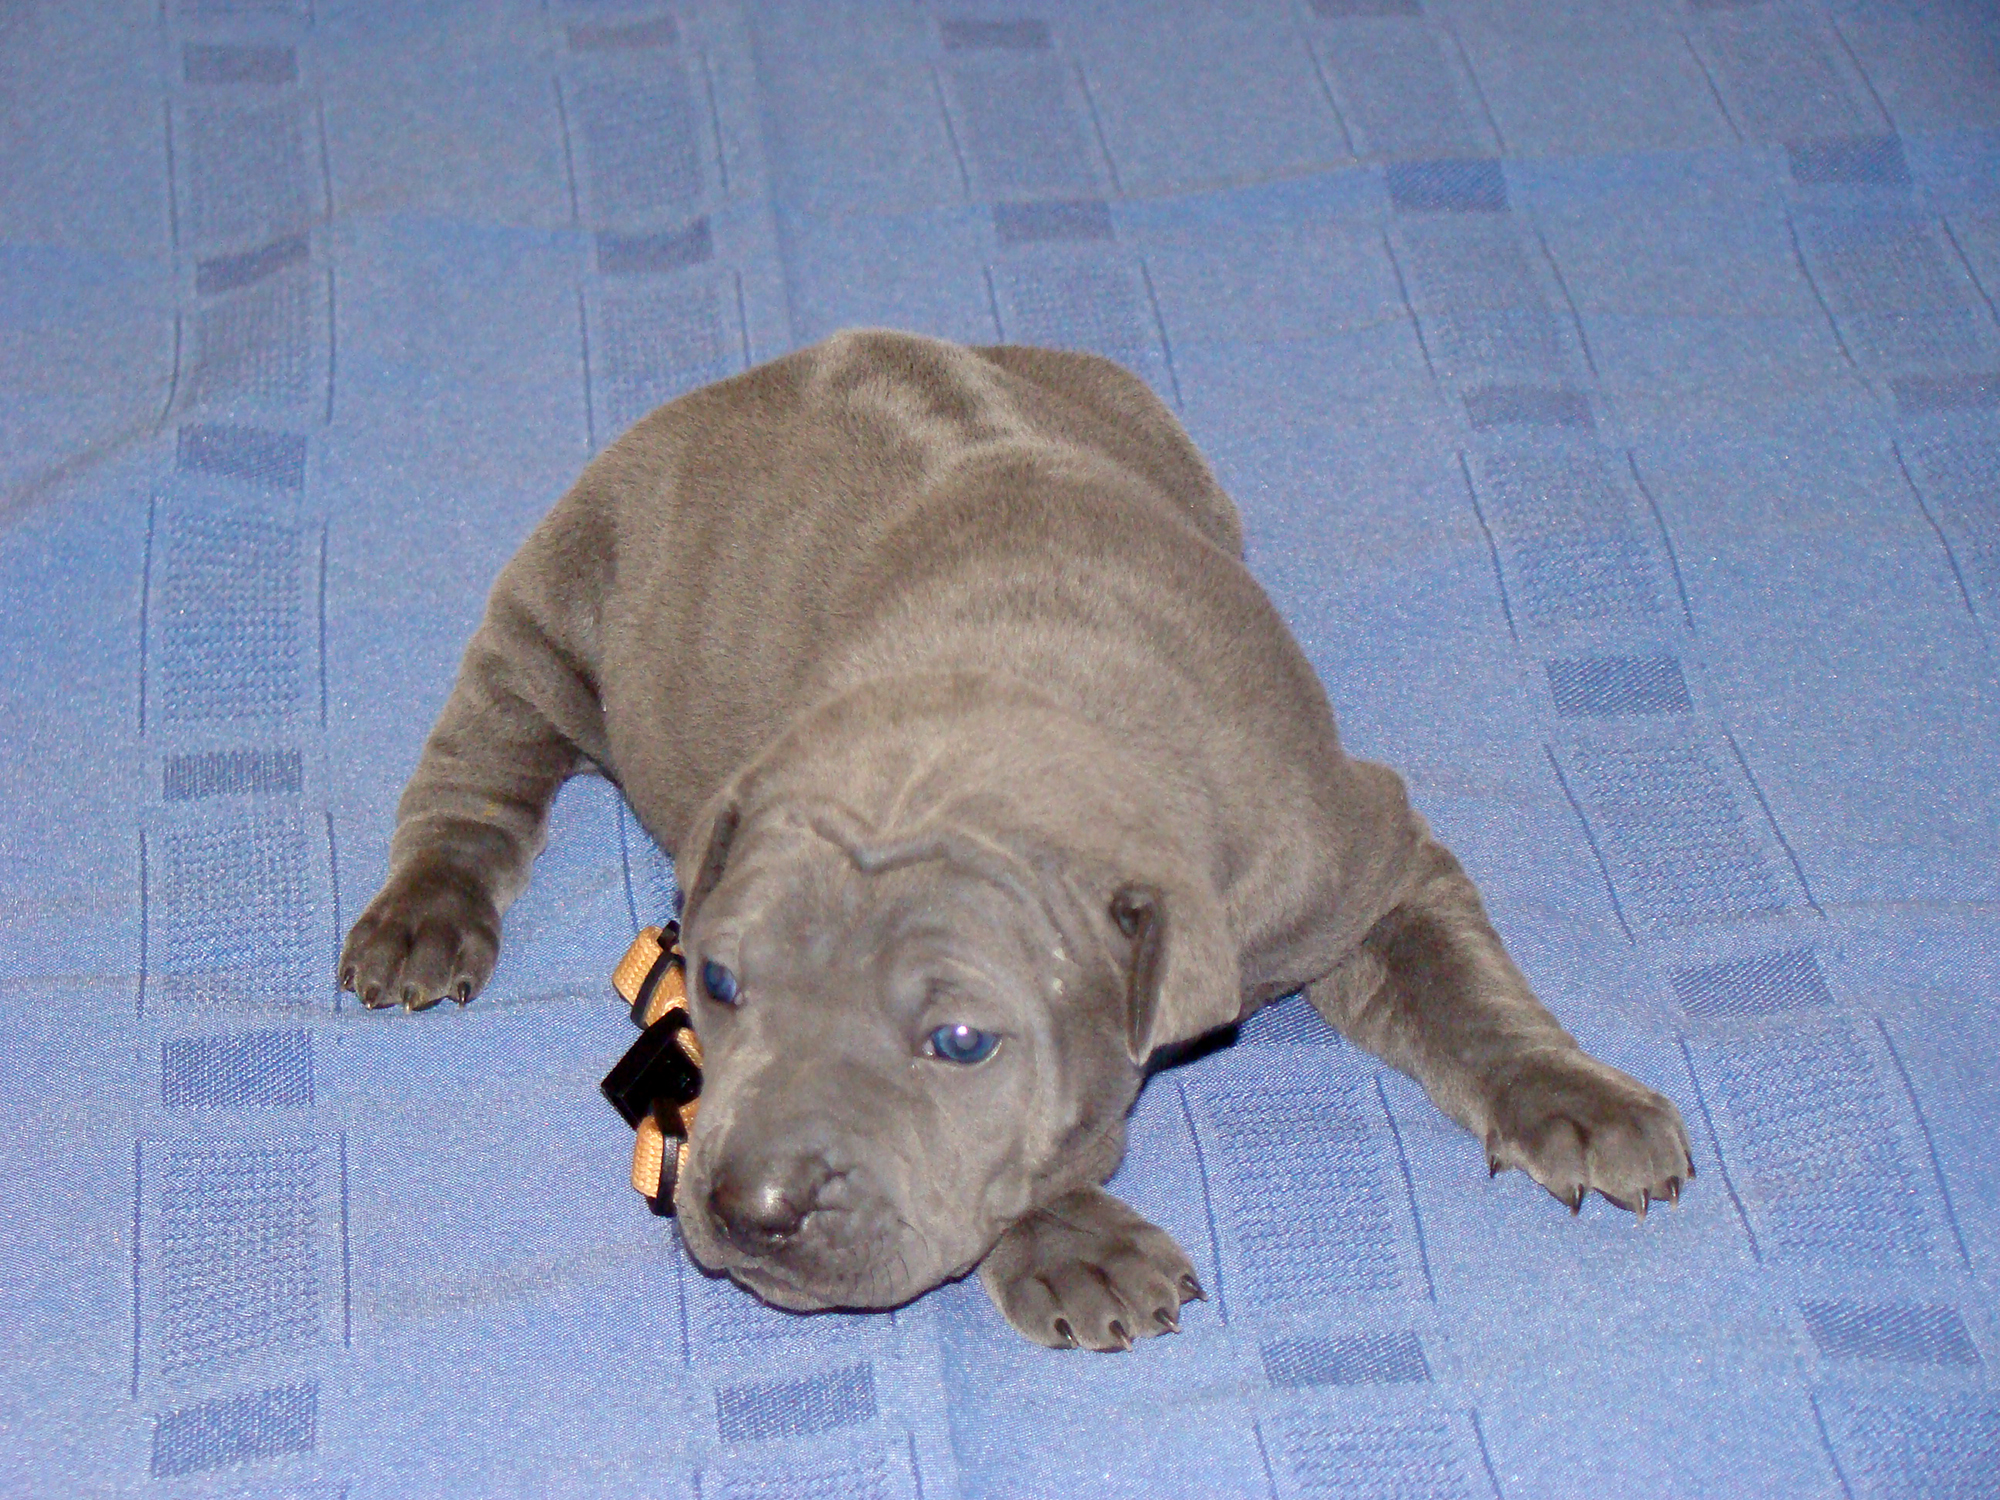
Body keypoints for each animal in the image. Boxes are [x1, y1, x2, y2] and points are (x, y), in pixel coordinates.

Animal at [340, 329, 1693, 1351]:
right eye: (716, 984)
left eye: (958, 1041)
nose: (750, 1204)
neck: (1011, 686)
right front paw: (1077, 1242)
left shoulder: (1357, 854)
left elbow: (1459, 985)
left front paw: (1570, 1096)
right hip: (563, 593)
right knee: (478, 762)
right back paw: (422, 919)